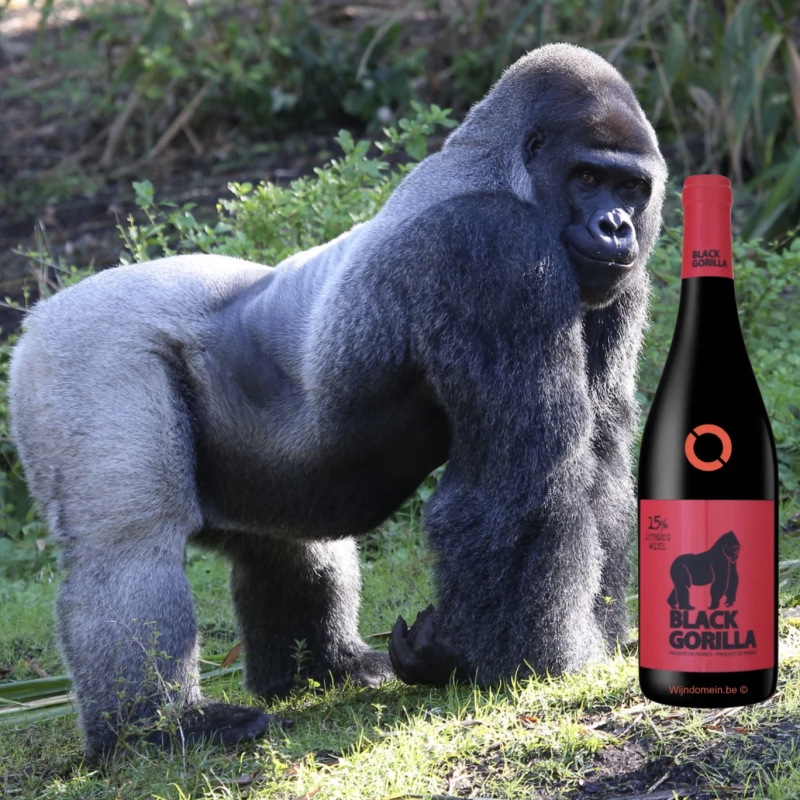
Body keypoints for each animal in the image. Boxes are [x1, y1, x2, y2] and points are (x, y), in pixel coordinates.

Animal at [8, 43, 667, 755]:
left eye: (631, 188)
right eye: (586, 178)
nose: (616, 226)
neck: (508, 172)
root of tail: (37, 315)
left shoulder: (618, 282)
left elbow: (600, 460)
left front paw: (597, 638)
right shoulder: (496, 249)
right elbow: (527, 479)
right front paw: (518, 663)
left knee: (288, 543)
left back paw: (326, 668)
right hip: (81, 351)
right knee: (130, 548)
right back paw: (154, 728)